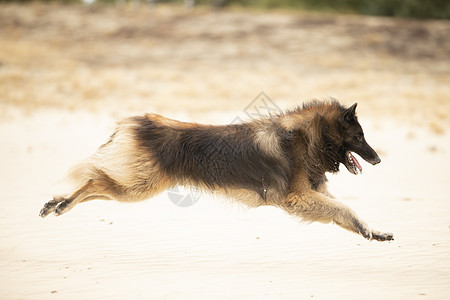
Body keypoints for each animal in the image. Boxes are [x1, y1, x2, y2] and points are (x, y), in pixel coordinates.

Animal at [40, 101, 396, 241]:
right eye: (360, 137)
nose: (378, 160)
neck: (309, 136)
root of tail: (138, 122)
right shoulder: (297, 197)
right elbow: (344, 209)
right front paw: (370, 231)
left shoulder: (314, 193)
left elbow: (347, 212)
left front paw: (374, 232)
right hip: (137, 187)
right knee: (92, 180)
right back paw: (61, 202)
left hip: (134, 187)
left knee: (95, 183)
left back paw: (57, 202)